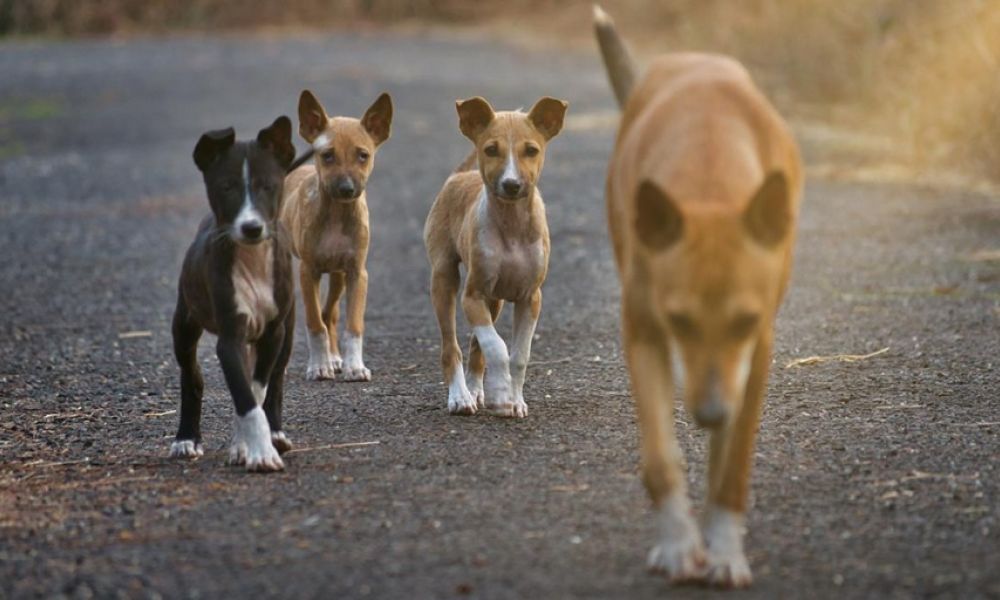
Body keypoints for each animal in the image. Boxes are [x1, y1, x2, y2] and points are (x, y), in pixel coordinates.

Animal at [171, 116, 296, 474]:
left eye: (268, 186)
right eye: (226, 187)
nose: (251, 227)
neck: (252, 260)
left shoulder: (272, 333)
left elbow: (256, 390)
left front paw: (248, 446)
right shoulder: (230, 336)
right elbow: (245, 397)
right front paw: (259, 452)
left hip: (289, 329)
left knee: (277, 378)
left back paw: (277, 433)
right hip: (184, 323)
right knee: (192, 376)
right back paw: (186, 439)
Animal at [282, 91, 394, 382]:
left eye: (363, 155)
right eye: (328, 155)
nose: (346, 188)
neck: (336, 214)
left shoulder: (357, 272)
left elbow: (352, 326)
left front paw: (354, 366)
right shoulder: (307, 272)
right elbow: (313, 324)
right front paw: (318, 366)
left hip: (338, 275)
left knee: (329, 313)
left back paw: (335, 358)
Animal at [422, 96, 568, 420]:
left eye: (531, 150)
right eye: (490, 150)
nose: (512, 185)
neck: (512, 227)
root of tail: (460, 175)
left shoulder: (530, 299)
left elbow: (519, 355)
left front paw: (514, 400)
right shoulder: (472, 295)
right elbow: (497, 347)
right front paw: (501, 397)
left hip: (496, 299)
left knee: (475, 345)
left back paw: (477, 391)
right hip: (444, 279)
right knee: (452, 347)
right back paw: (461, 397)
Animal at [592, 7, 804, 592]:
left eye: (745, 321)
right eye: (679, 320)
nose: (709, 412)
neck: (709, 175)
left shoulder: (758, 350)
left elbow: (733, 467)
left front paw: (725, 550)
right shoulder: (644, 332)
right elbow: (661, 457)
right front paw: (678, 545)